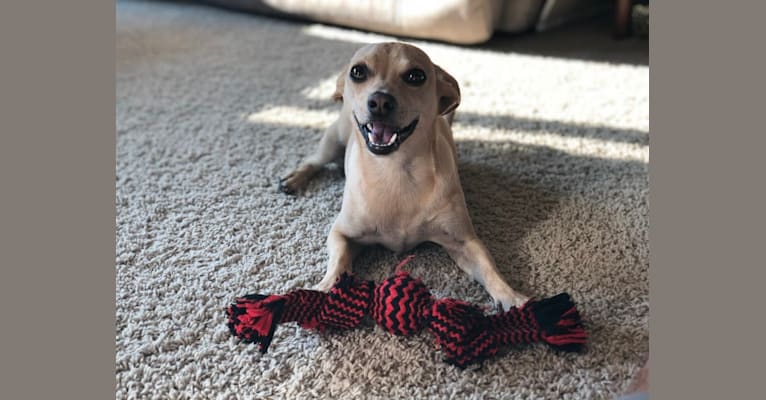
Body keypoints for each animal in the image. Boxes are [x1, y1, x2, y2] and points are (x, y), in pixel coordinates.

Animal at [280, 42, 528, 310]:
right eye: (357, 72)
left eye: (415, 76)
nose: (380, 101)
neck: (395, 170)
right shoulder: (341, 233)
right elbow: (338, 262)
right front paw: (326, 287)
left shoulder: (465, 242)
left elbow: (490, 269)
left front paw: (512, 298)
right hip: (333, 141)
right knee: (314, 161)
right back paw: (294, 179)